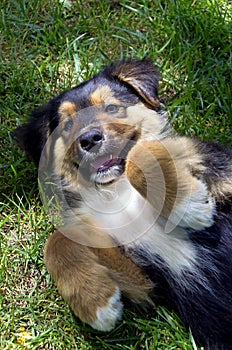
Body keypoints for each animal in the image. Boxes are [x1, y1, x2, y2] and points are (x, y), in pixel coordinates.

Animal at [14, 58, 232, 348]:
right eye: (68, 126)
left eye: (112, 107)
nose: (89, 138)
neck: (118, 190)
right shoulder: (148, 283)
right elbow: (58, 240)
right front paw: (96, 305)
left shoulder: (220, 163)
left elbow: (144, 150)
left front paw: (186, 205)